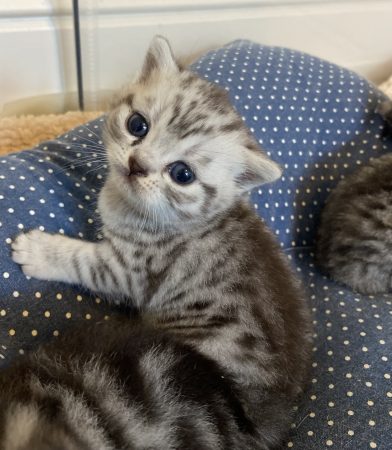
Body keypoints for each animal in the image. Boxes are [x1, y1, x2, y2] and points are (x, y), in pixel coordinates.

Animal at [5, 36, 312, 450]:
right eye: (138, 125)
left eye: (182, 174)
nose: (138, 165)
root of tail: (267, 420)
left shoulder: (130, 270)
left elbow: (83, 260)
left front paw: (38, 251)